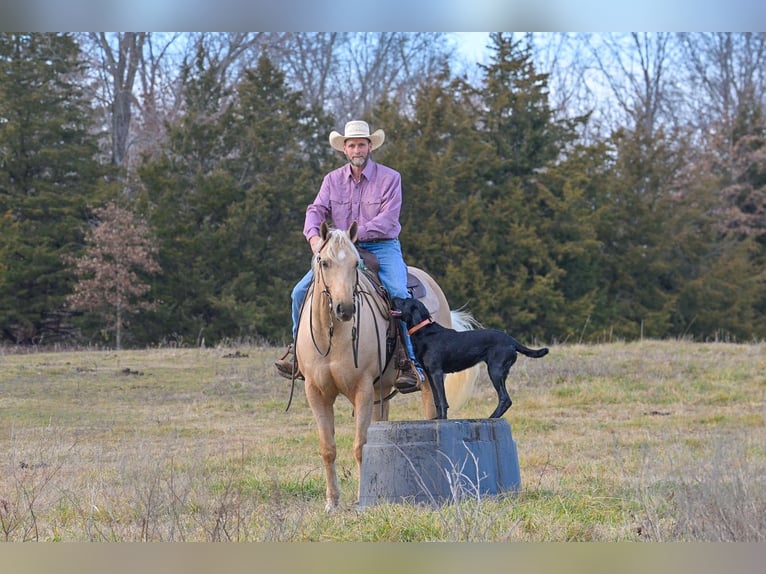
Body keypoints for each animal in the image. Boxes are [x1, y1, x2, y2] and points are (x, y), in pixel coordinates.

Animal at [295, 221, 479, 511]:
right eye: (324, 262)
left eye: (355, 263)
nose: (345, 308)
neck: (333, 337)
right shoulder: (316, 393)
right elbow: (328, 448)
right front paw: (332, 502)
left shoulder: (362, 390)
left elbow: (361, 445)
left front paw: (361, 500)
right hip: (380, 392)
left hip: (426, 381)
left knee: (432, 414)